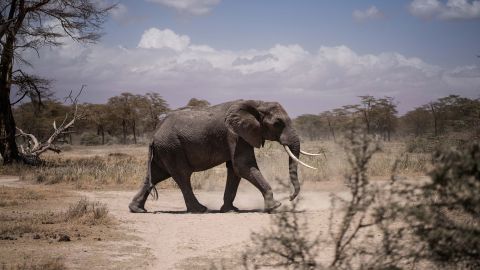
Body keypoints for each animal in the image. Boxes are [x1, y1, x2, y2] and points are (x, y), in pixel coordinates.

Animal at [129, 99, 320, 213]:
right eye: (277, 123)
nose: (290, 197)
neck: (256, 103)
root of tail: (154, 135)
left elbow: (235, 170)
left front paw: (230, 210)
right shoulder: (235, 134)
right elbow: (242, 166)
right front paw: (275, 207)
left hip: (165, 150)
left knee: (156, 175)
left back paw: (137, 210)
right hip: (172, 147)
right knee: (182, 175)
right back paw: (200, 209)